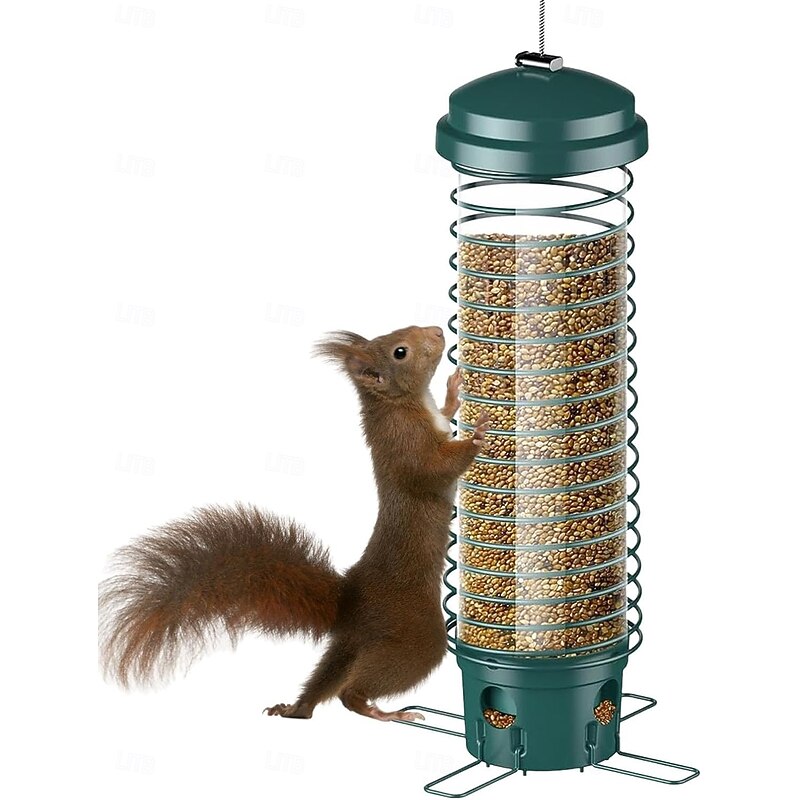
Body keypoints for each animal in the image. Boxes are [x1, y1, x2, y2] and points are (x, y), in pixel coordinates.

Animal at [99, 324, 490, 723]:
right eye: (400, 351)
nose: (437, 332)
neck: (401, 403)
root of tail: (350, 602)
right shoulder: (406, 445)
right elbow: (434, 469)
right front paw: (477, 437)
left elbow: (445, 414)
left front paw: (454, 391)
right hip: (414, 637)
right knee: (350, 693)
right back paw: (386, 712)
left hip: (350, 646)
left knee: (323, 685)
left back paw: (293, 708)